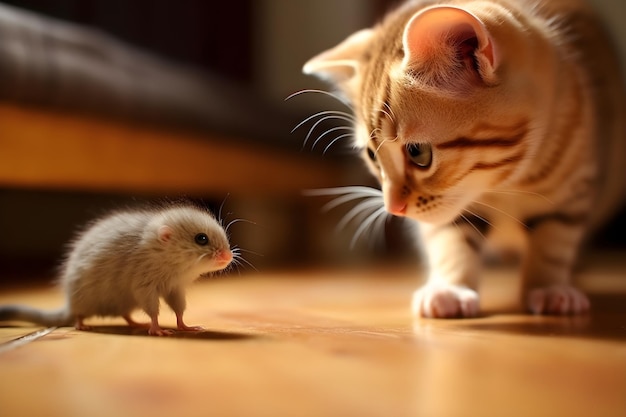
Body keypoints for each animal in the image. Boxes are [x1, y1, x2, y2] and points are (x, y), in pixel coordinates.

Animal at [300, 0, 620, 316]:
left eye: (418, 153)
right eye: (372, 156)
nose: (394, 209)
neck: (506, 183)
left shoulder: (576, 189)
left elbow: (554, 240)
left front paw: (550, 288)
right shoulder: (452, 213)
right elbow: (451, 239)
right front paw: (449, 289)